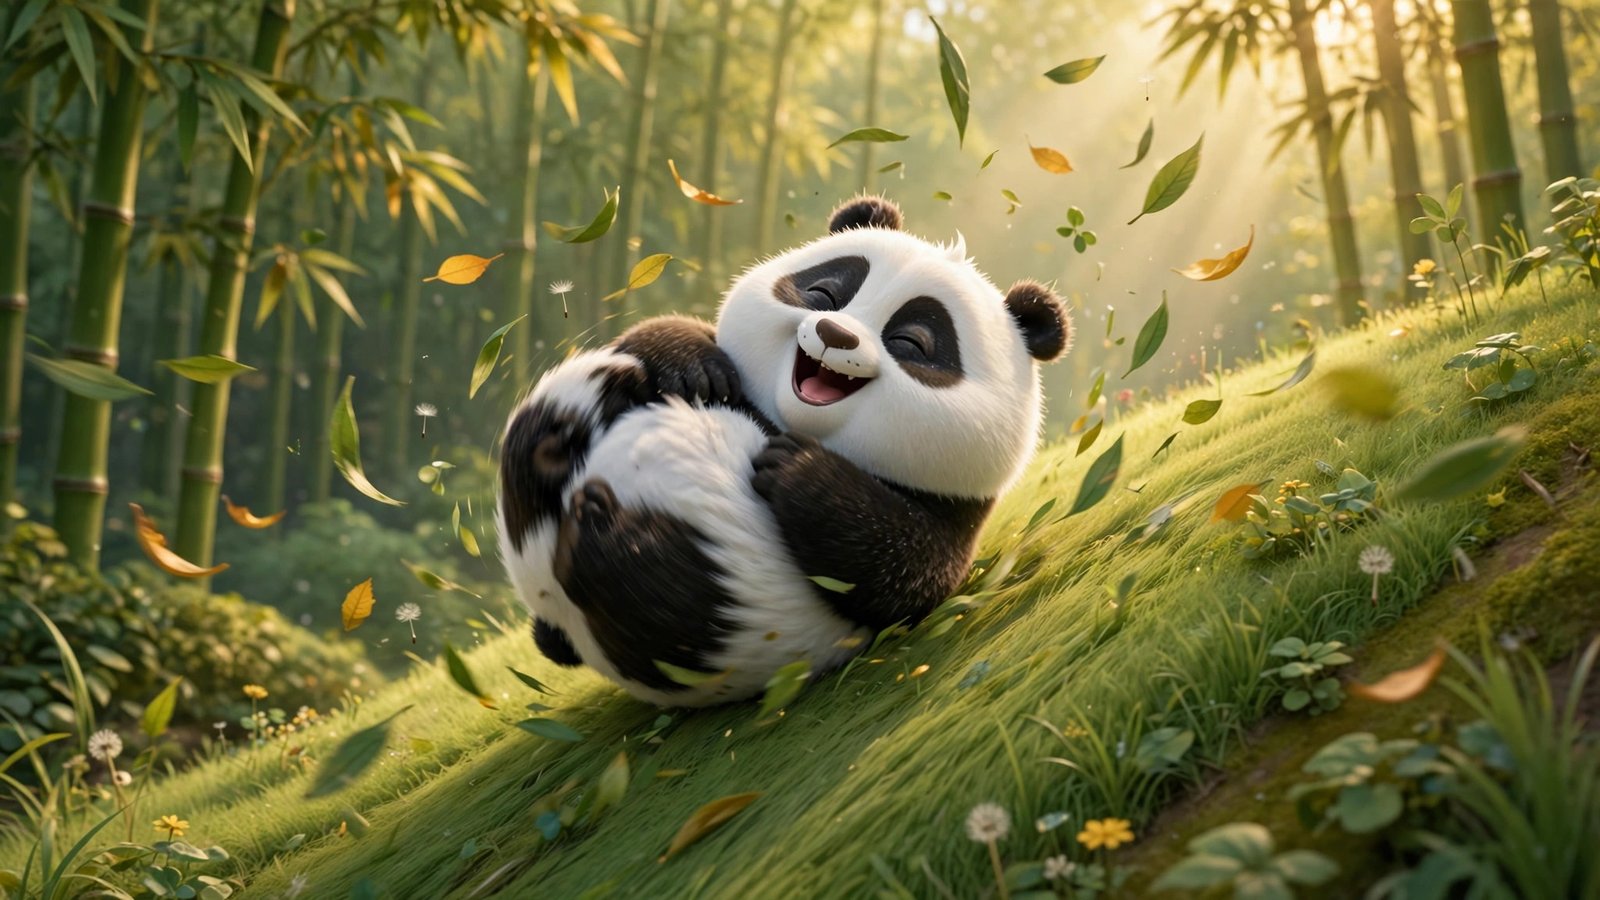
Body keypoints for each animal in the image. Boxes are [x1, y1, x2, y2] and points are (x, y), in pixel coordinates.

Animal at [496, 196, 1071, 706]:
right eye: (823, 295)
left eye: (910, 343)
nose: (834, 333)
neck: (780, 419)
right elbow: (666, 336)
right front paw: (695, 366)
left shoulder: (954, 507)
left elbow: (904, 574)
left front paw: (797, 470)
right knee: (550, 426)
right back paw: (562, 453)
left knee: (644, 588)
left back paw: (598, 527)